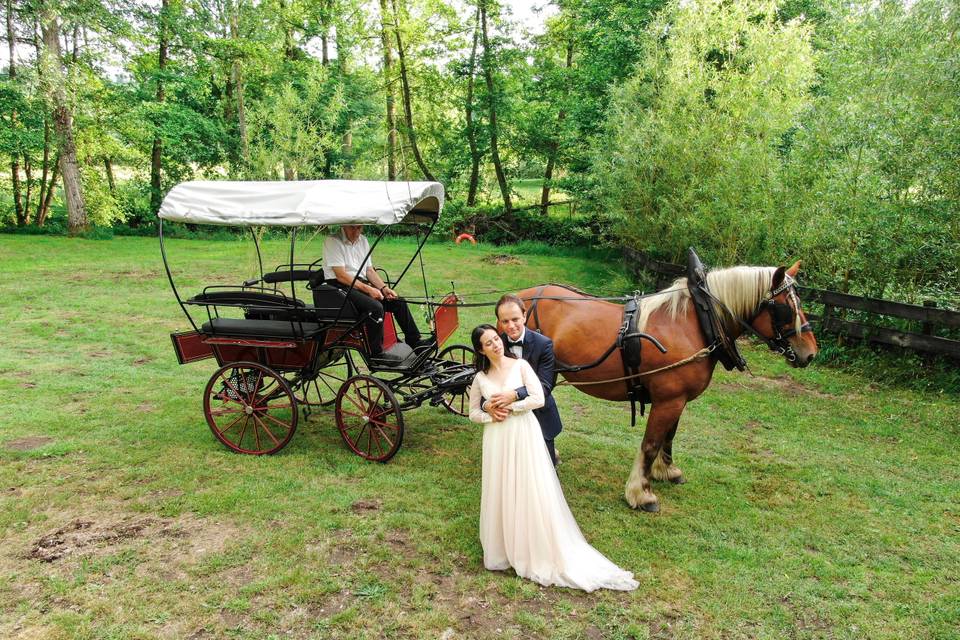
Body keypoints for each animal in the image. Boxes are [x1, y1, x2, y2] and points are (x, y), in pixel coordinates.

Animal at [516, 260, 816, 510]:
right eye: (785, 307)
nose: (810, 353)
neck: (696, 322)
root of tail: (519, 297)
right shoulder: (668, 400)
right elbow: (650, 443)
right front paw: (641, 493)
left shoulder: (677, 400)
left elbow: (668, 437)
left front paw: (667, 471)